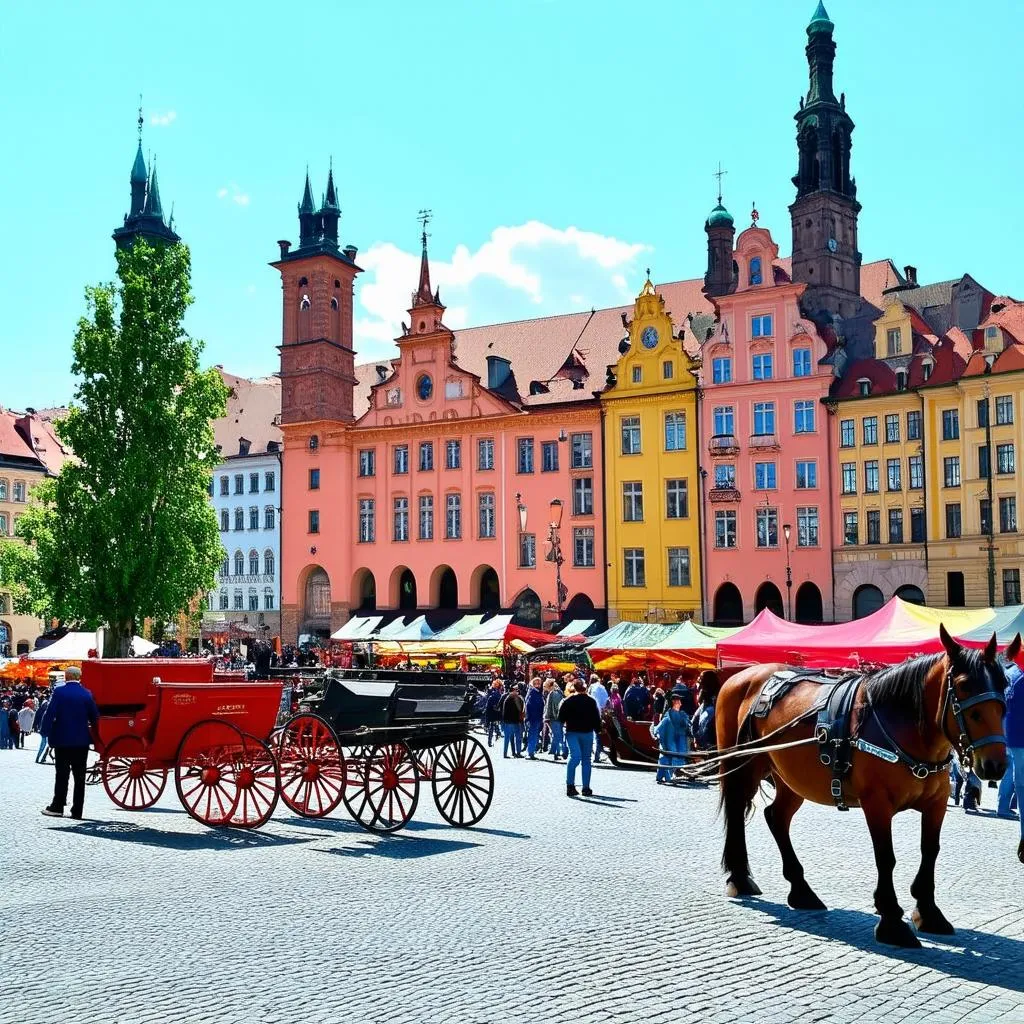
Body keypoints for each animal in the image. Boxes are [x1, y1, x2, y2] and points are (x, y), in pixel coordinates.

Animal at [720, 622, 1015, 950]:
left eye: (1003, 684)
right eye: (963, 686)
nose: (995, 764)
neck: (903, 723)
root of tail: (741, 676)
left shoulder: (936, 803)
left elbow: (930, 851)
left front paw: (928, 911)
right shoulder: (877, 804)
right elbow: (885, 856)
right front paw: (891, 919)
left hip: (790, 779)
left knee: (776, 817)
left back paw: (801, 888)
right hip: (743, 769)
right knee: (736, 813)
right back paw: (739, 878)